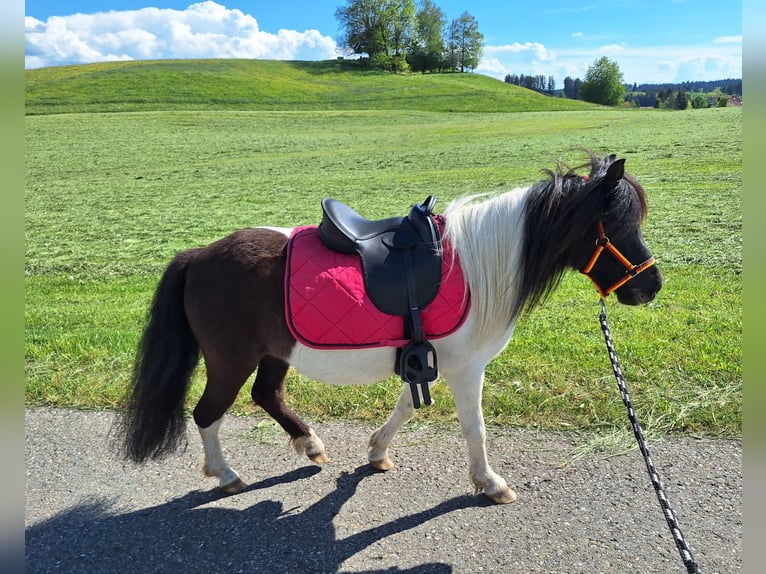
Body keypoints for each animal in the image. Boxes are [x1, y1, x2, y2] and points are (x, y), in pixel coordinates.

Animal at [116, 151, 662, 504]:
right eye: (618, 226)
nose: (651, 285)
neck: (480, 262)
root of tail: (199, 256)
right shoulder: (465, 368)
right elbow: (475, 427)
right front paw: (489, 483)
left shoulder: (425, 356)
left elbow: (404, 406)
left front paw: (377, 452)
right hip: (231, 360)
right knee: (207, 413)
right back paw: (227, 475)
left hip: (275, 353)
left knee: (266, 396)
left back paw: (309, 444)